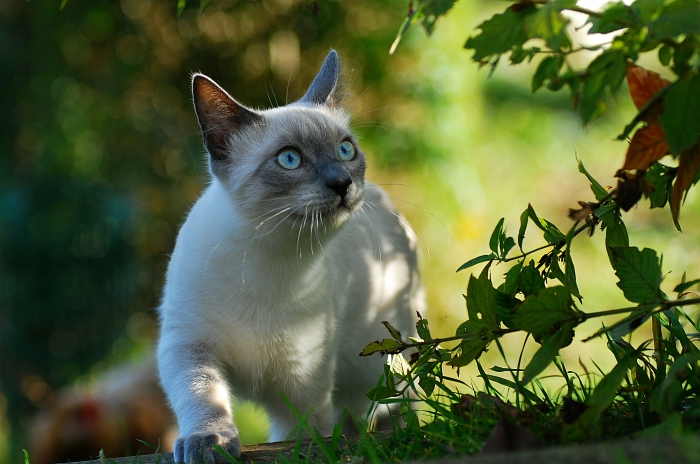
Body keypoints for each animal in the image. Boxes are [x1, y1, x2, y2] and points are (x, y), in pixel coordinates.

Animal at [157, 50, 424, 464]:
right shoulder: (188, 346)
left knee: (394, 409)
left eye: (345, 150)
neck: (268, 259)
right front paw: (209, 444)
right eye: (289, 159)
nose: (342, 183)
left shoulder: (301, 384)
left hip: (388, 360)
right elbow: (203, 396)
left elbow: (301, 439)